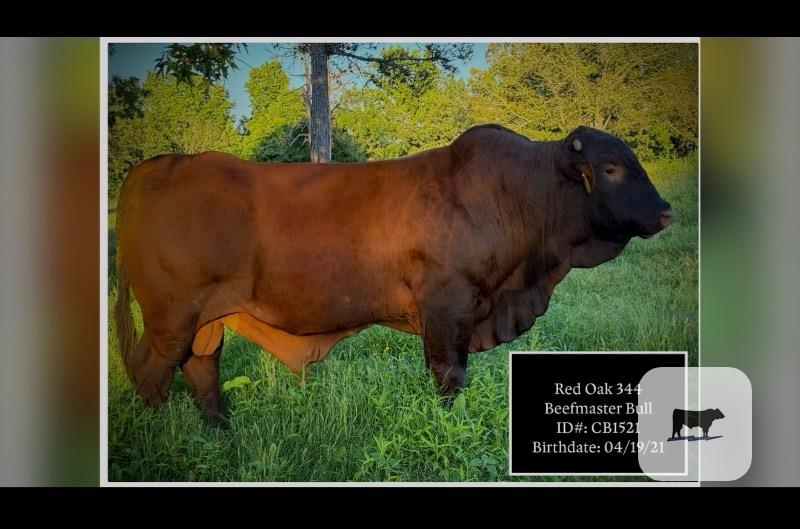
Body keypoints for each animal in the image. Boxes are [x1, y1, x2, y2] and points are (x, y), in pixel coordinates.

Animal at [114, 124, 675, 427]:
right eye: (610, 169)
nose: (667, 212)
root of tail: (155, 166)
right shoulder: (448, 305)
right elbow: (449, 374)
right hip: (171, 317)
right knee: (151, 372)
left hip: (204, 318)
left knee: (201, 369)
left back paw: (219, 432)